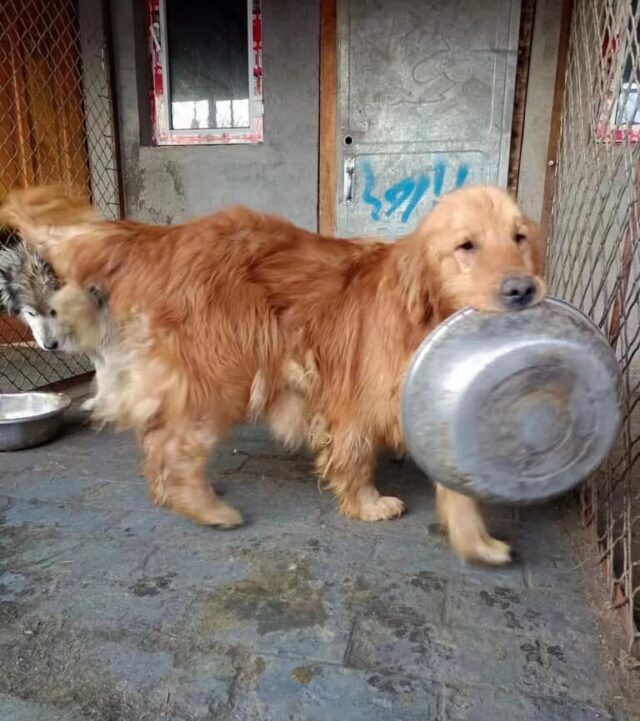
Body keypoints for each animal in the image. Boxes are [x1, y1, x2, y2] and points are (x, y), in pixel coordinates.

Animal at [2, 184, 548, 564]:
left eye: (519, 237)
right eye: (466, 246)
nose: (522, 290)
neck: (424, 311)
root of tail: (163, 237)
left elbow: (458, 484)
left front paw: (475, 541)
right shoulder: (354, 398)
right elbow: (355, 457)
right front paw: (367, 504)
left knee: (157, 439)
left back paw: (171, 494)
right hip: (219, 376)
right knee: (173, 443)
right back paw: (202, 506)